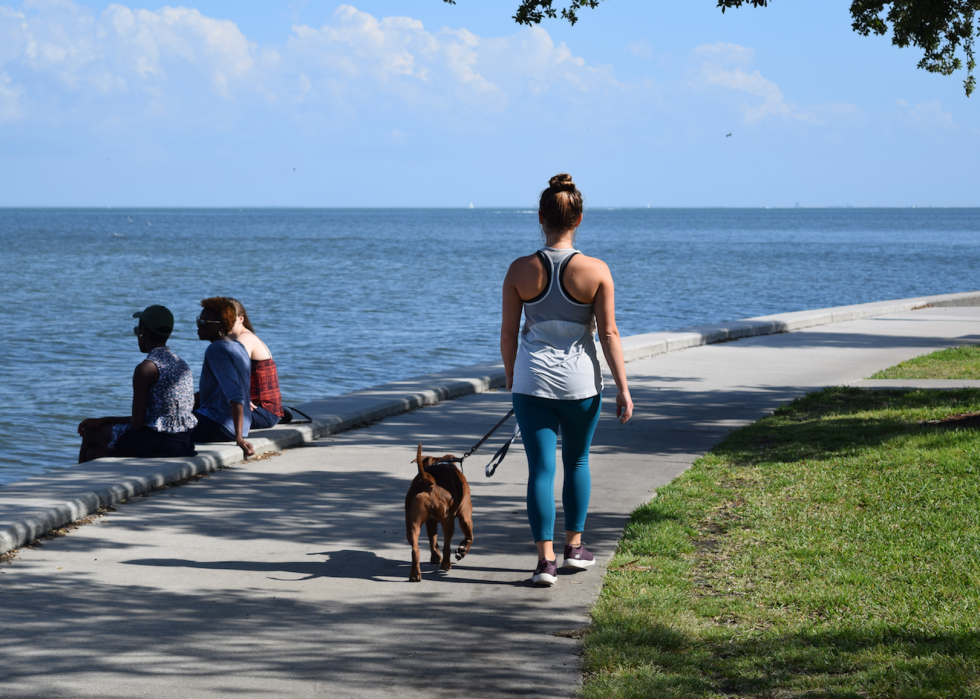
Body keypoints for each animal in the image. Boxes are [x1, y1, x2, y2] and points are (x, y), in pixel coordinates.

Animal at [406, 446, 474, 584]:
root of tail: (429, 482)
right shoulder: (465, 516)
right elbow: (470, 537)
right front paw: (462, 550)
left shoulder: (430, 522)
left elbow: (433, 541)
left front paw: (435, 558)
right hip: (449, 522)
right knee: (447, 545)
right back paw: (446, 565)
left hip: (412, 524)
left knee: (415, 549)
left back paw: (415, 575)